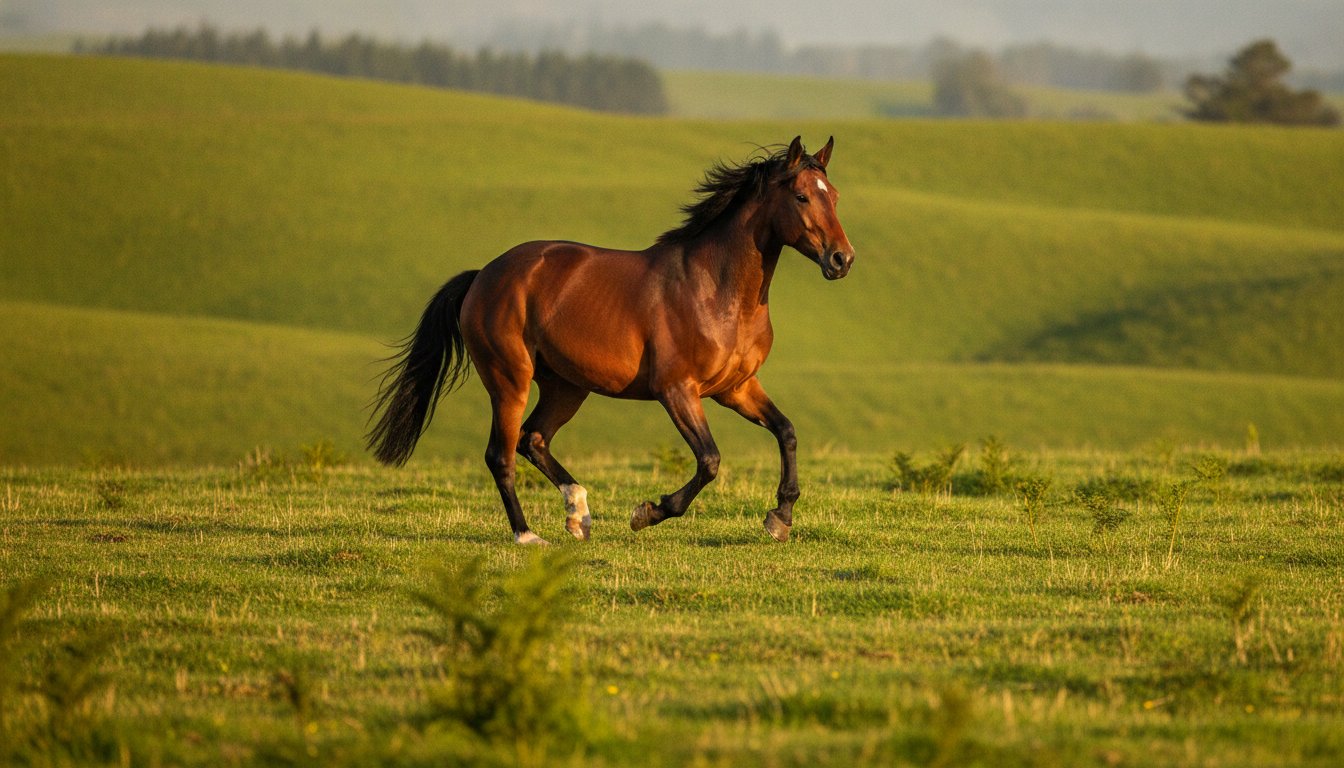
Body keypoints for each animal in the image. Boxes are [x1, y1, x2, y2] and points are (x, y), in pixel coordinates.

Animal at [366, 136, 855, 544]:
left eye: (834, 196)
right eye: (801, 196)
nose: (842, 259)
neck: (716, 290)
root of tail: (483, 276)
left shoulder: (736, 388)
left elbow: (786, 432)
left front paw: (780, 518)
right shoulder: (677, 390)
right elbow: (710, 460)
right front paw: (648, 512)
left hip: (566, 386)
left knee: (532, 439)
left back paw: (578, 514)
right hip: (510, 380)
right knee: (500, 455)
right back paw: (528, 536)